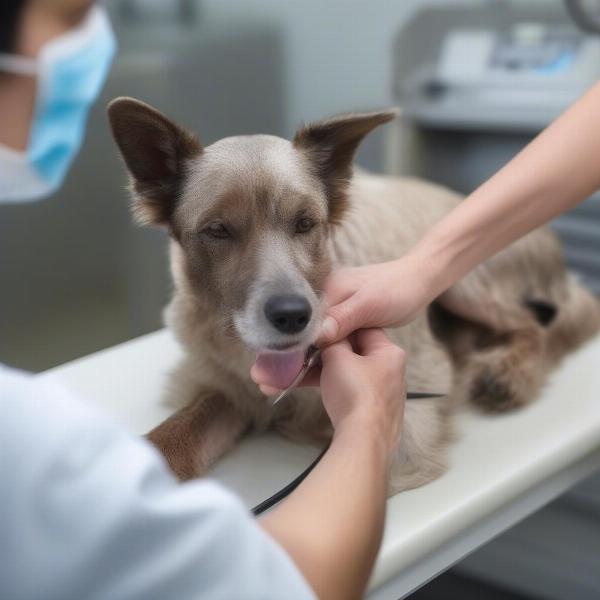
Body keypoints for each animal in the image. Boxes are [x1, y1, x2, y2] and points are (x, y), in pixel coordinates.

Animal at [106, 97, 600, 492]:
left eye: (306, 222)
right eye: (217, 230)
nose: (292, 315)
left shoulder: (407, 425)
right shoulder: (232, 391)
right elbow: (175, 435)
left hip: (463, 277)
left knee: (536, 327)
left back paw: (508, 373)